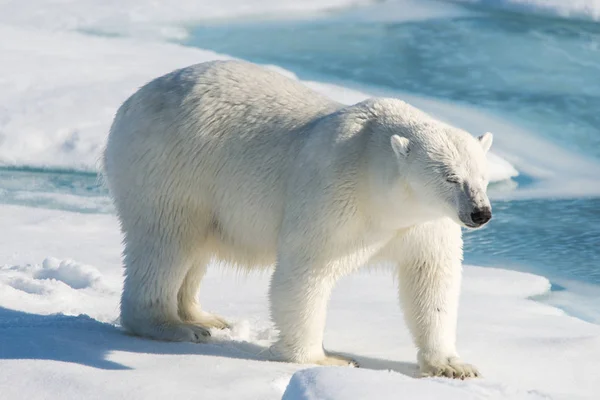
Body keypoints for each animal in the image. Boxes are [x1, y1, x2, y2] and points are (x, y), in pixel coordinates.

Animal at [104, 59, 492, 378]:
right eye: (450, 177)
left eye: (483, 176)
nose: (481, 213)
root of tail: (130, 104)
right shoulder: (336, 196)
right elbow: (305, 273)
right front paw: (326, 359)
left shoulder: (425, 224)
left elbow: (432, 279)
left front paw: (453, 366)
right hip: (170, 167)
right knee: (166, 240)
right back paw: (174, 326)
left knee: (195, 248)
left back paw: (202, 316)